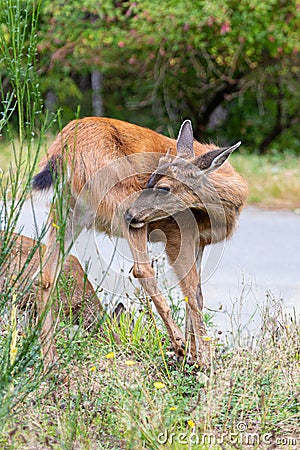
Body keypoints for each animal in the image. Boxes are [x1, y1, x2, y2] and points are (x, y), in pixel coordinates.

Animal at [32, 118, 248, 368]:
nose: (130, 213)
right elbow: (193, 294)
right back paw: (178, 344)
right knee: (141, 269)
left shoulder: (200, 241)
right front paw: (203, 359)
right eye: (151, 177)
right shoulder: (179, 230)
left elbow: (195, 294)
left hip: (68, 209)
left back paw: (50, 360)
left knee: (46, 276)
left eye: (163, 186)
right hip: (118, 197)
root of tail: (64, 143)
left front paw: (195, 357)